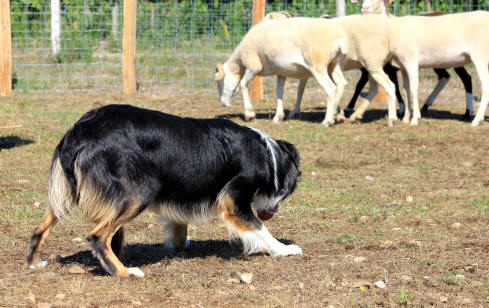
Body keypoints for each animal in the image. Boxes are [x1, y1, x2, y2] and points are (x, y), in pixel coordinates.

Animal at [27, 104, 302, 278]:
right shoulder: (233, 200)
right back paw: (124, 272)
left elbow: (179, 222)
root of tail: (79, 130)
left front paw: (178, 243)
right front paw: (283, 249)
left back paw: (34, 262)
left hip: (67, 193)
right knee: (98, 236)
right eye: (284, 192)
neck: (268, 156)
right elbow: (259, 228)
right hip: (140, 191)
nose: (273, 211)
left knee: (42, 227)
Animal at [214, 17, 346, 126]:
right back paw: (336, 116)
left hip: (318, 66)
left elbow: (242, 84)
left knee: (330, 89)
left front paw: (249, 114)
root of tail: (338, 38)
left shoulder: (253, 66)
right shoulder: (281, 72)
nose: (223, 103)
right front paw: (278, 117)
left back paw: (327, 121)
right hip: (333, 64)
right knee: (340, 84)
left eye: (221, 82)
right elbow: (279, 92)